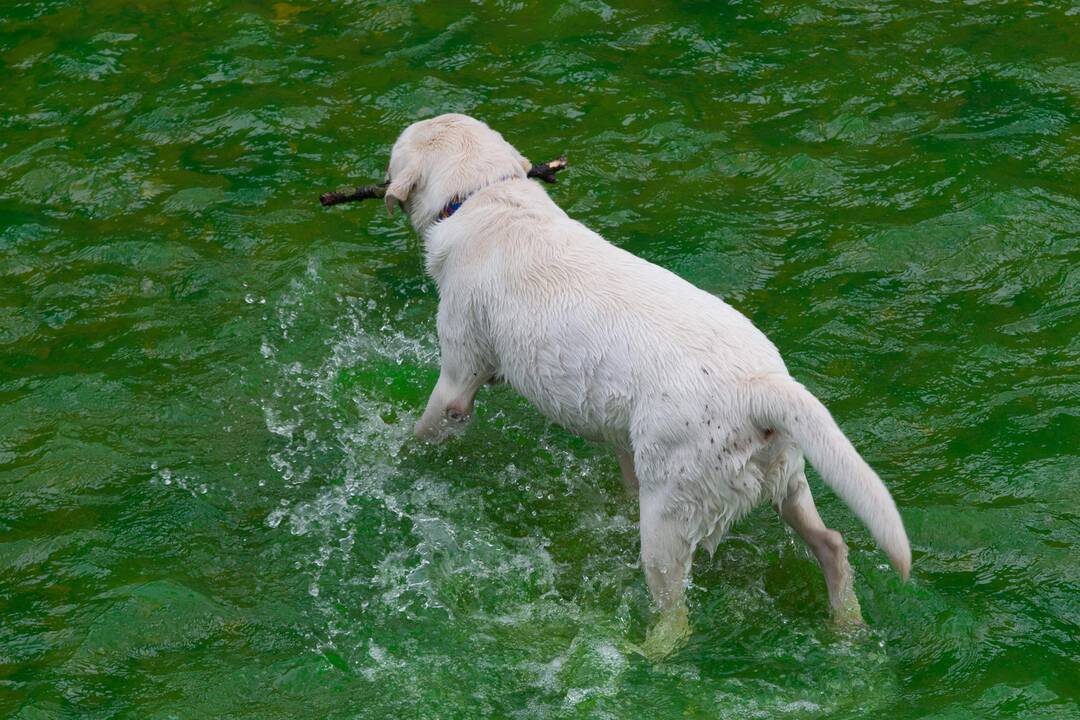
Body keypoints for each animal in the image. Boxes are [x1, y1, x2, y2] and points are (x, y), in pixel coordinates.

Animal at [380, 112, 911, 630]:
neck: (484, 196)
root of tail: (758, 387)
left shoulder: (457, 376)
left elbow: (426, 426)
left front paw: (399, 462)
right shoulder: (623, 437)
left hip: (667, 520)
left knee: (676, 612)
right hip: (788, 476)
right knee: (832, 543)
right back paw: (848, 624)